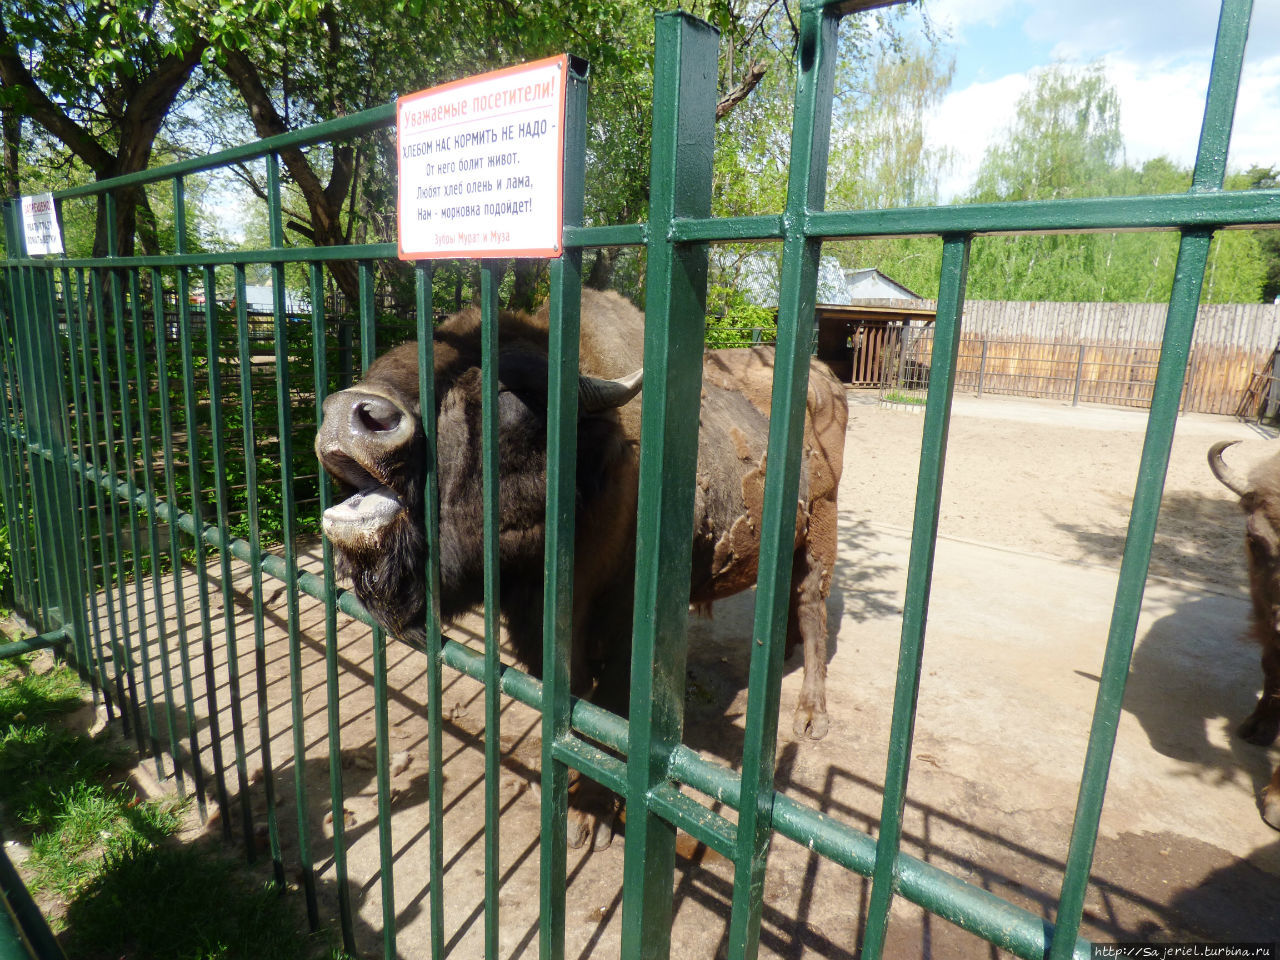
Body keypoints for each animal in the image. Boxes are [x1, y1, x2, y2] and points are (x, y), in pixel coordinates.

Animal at [313, 289, 844, 844]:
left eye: (505, 393)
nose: (350, 413)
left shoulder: (626, 636)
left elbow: (606, 713)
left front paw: (590, 816)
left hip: (820, 532)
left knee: (813, 607)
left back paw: (810, 716)